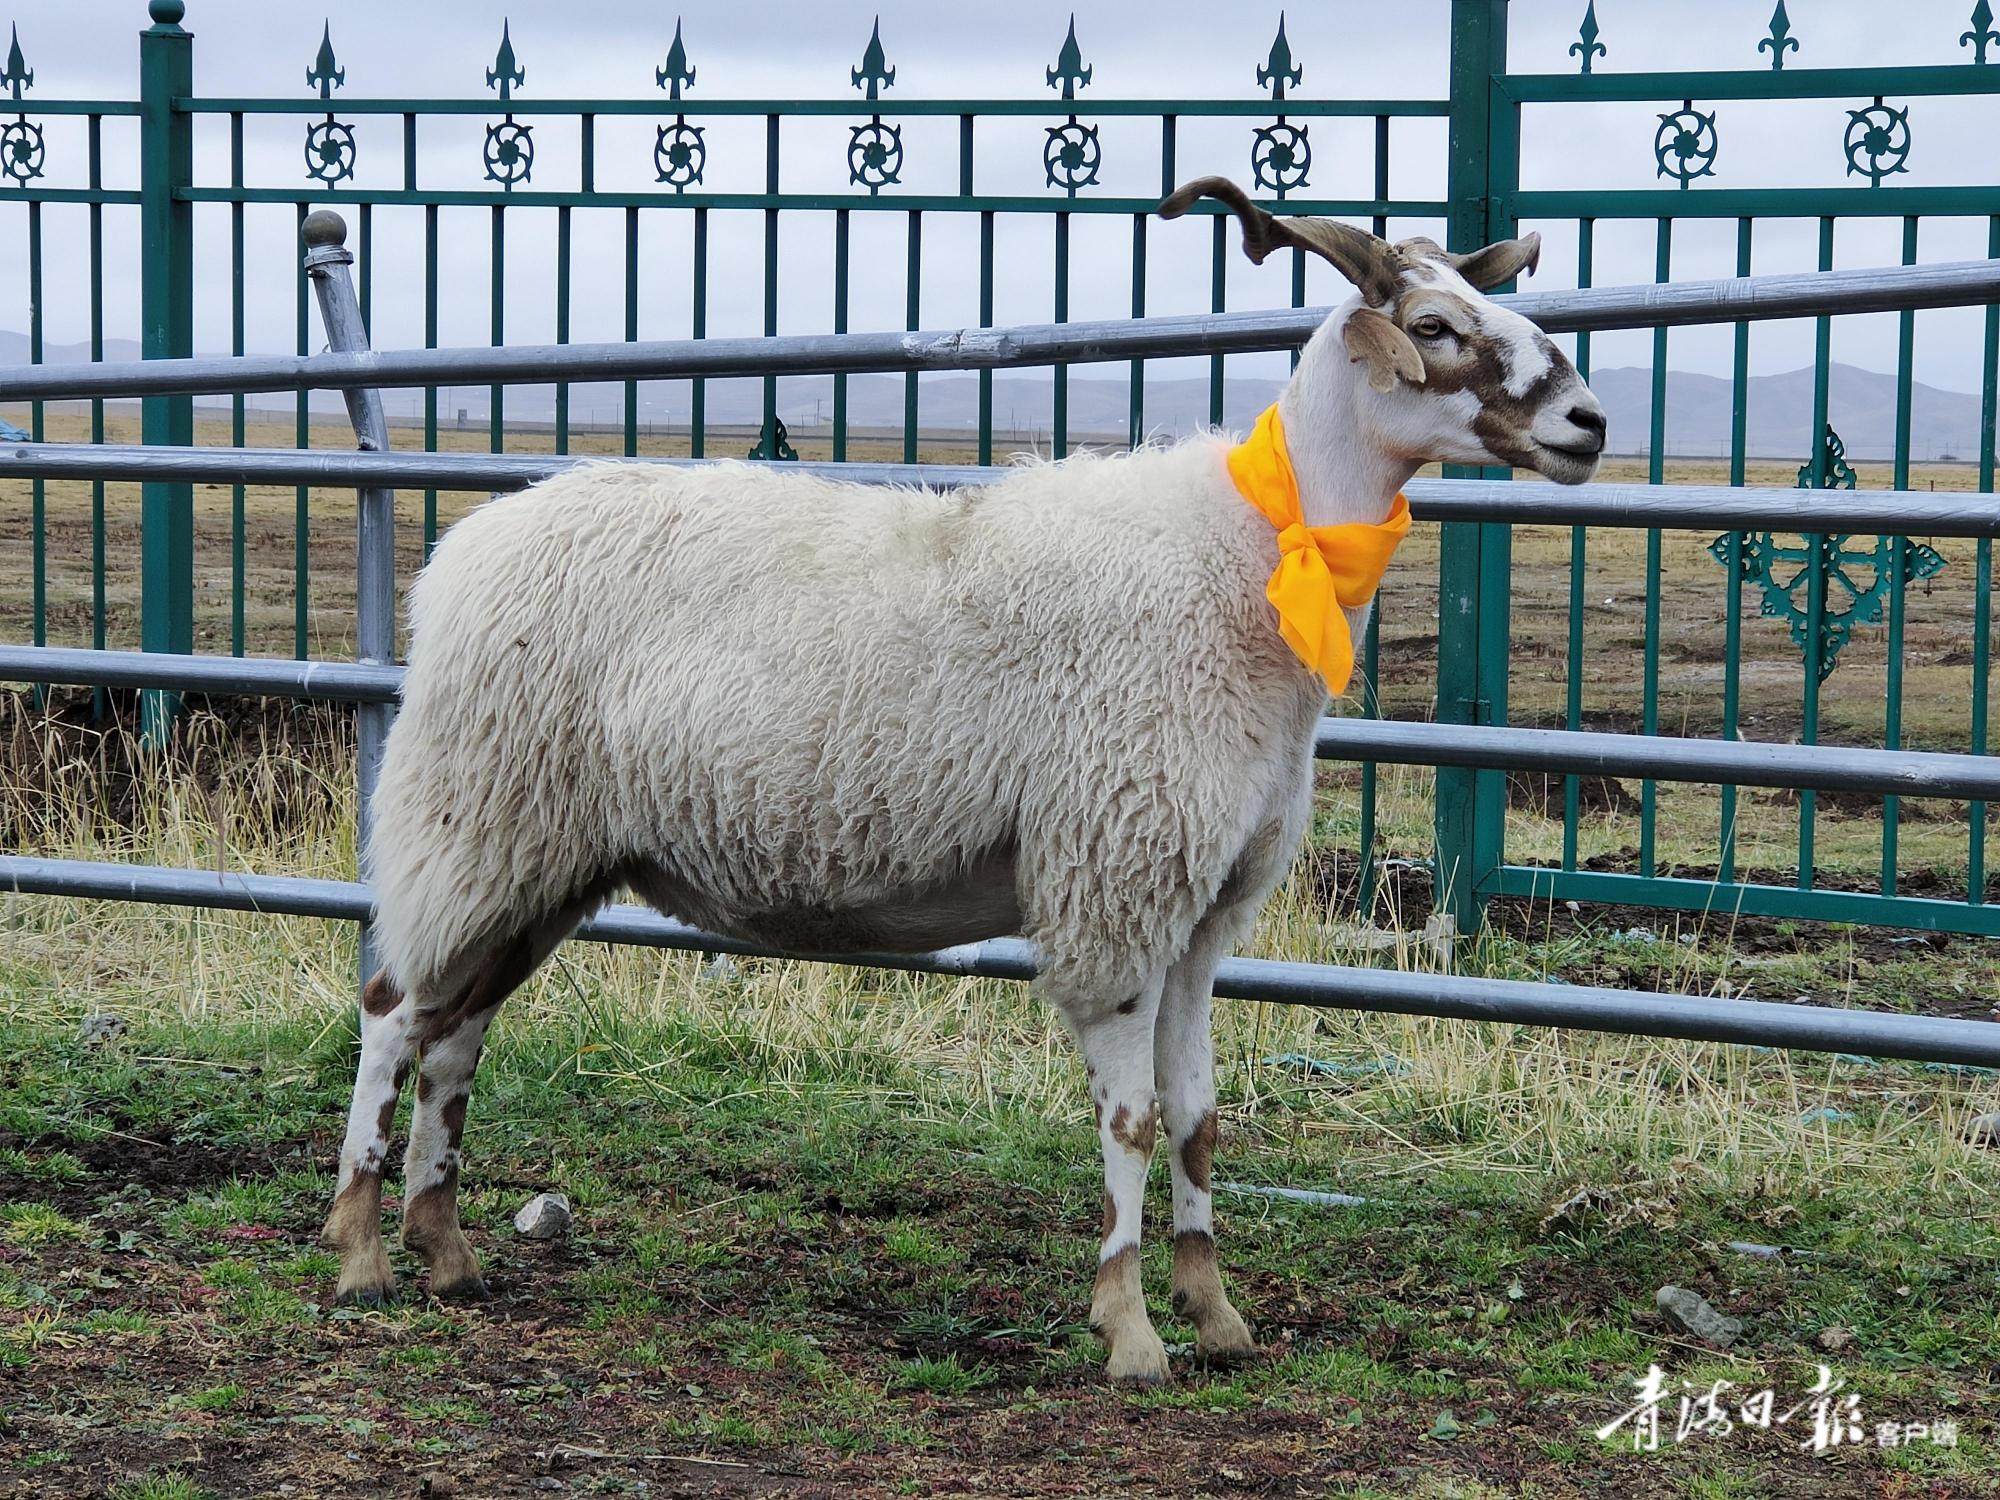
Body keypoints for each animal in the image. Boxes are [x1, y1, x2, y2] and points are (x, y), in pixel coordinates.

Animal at [328, 179, 1608, 1384]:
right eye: (1434, 325)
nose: (1589, 424)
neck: (1252, 554)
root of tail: (464, 555)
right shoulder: (1115, 877)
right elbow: (1131, 1121)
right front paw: (1129, 1332)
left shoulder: (1203, 907)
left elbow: (1196, 1123)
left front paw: (1216, 1317)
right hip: (475, 817)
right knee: (394, 1016)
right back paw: (361, 1253)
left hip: (540, 857)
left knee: (457, 1032)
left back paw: (446, 1252)